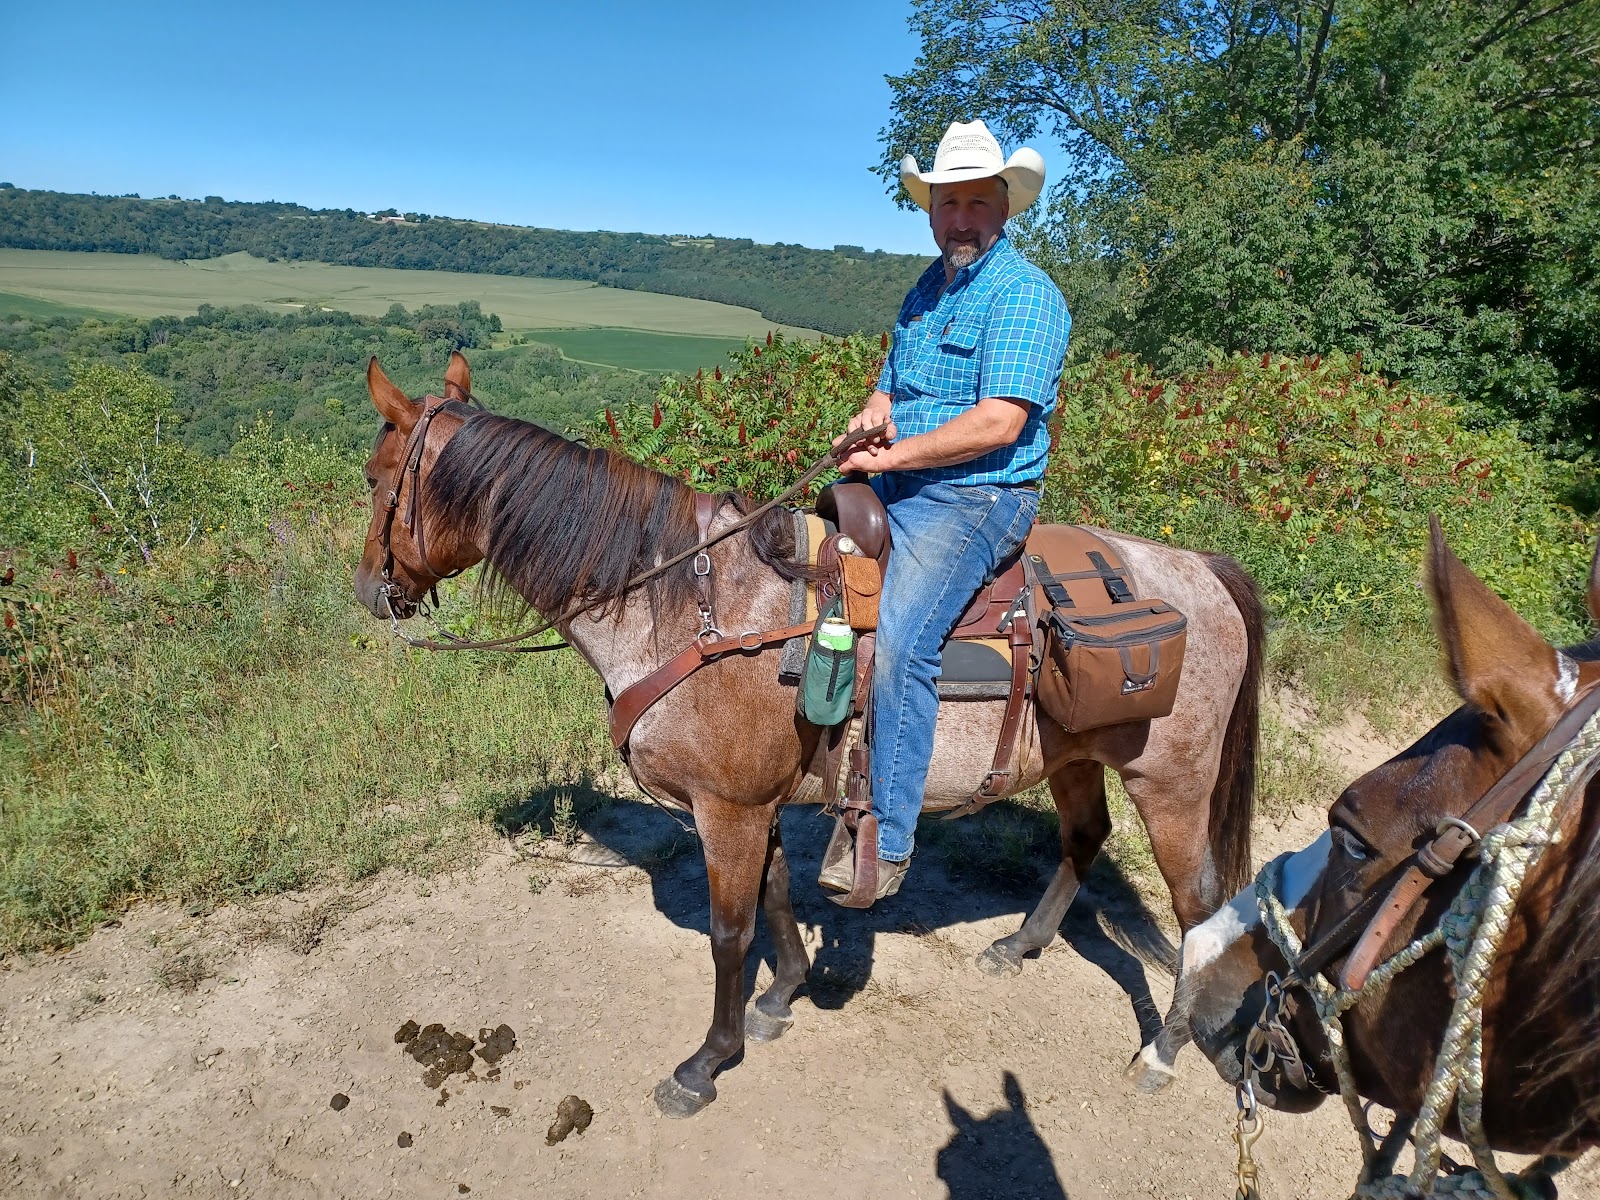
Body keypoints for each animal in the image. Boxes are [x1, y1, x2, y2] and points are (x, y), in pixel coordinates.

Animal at [352, 351, 1265, 1117]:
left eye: (374, 477)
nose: (369, 591)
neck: (696, 607)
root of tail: (1203, 571)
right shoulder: (751, 800)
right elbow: (777, 895)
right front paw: (781, 994)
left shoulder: (726, 808)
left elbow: (730, 931)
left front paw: (706, 1061)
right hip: (1078, 754)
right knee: (1085, 836)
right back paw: (1020, 944)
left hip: (1172, 786)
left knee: (1198, 905)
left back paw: (1164, 1048)